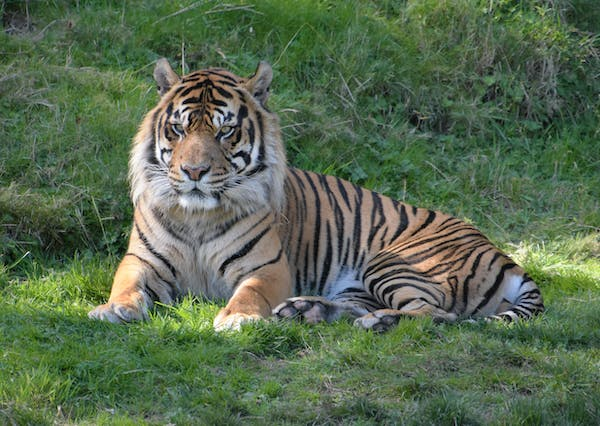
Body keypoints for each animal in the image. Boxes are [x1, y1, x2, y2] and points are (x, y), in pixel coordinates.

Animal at [88, 58, 544, 332]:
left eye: (225, 131)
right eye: (179, 128)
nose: (194, 172)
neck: (197, 215)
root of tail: (499, 252)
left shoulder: (268, 267)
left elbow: (249, 293)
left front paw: (237, 320)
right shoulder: (141, 261)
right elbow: (124, 285)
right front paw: (112, 309)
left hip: (396, 263)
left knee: (435, 314)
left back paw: (378, 322)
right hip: (359, 283)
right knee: (363, 307)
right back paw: (306, 310)